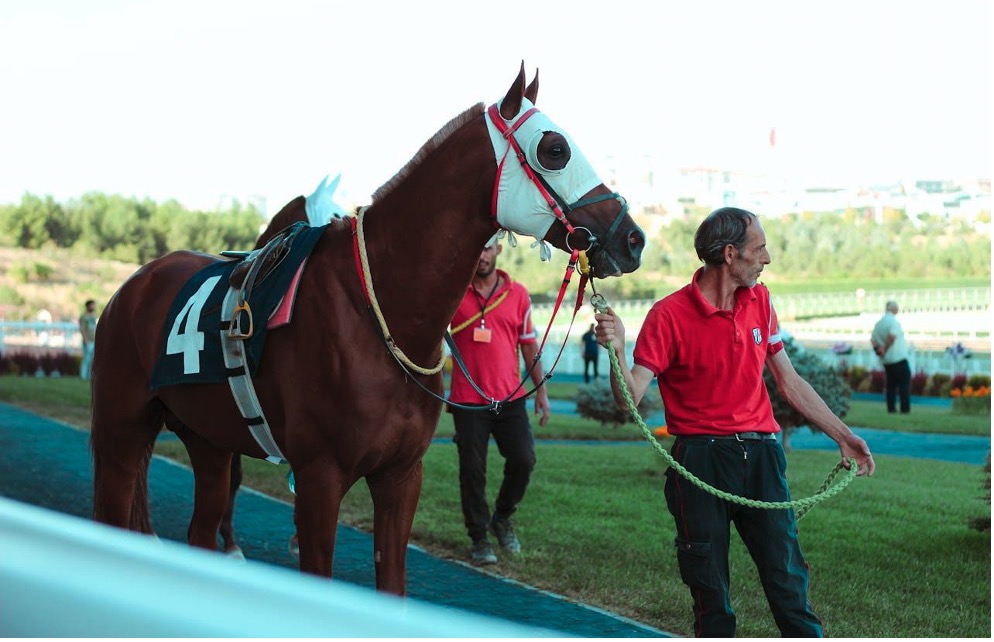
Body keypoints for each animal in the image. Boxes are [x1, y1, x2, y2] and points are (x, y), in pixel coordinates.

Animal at [90, 63, 646, 595]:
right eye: (555, 150)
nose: (633, 237)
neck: (379, 312)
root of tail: (134, 284)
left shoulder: (401, 477)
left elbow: (392, 583)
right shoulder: (318, 477)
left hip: (209, 441)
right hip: (120, 432)